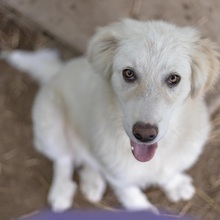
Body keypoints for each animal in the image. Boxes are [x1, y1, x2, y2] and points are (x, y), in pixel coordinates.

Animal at [2, 19, 219, 213]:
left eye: (174, 78)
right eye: (128, 74)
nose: (144, 134)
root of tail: (57, 73)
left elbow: (168, 171)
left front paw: (176, 184)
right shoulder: (117, 175)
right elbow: (131, 194)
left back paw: (92, 182)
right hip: (49, 127)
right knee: (64, 160)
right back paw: (62, 192)